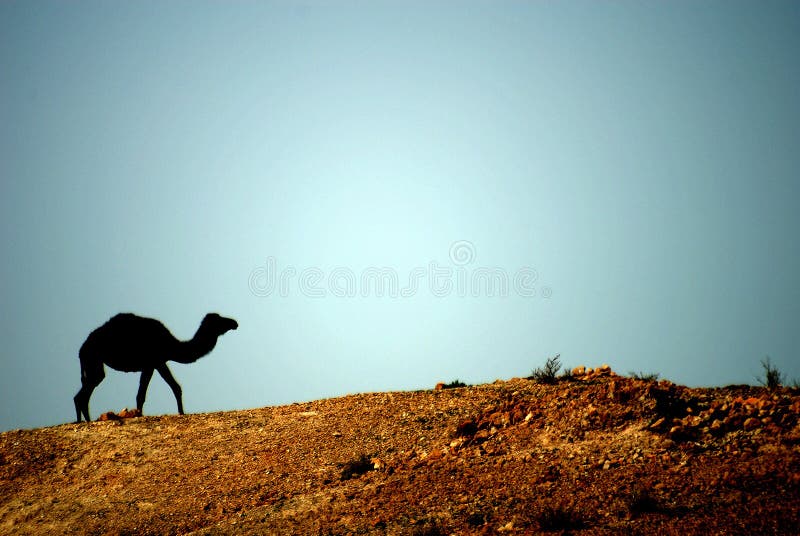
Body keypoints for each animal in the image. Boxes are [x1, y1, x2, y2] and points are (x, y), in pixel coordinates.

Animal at [73, 314, 238, 422]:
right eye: (219, 320)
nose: (234, 323)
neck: (171, 344)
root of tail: (82, 348)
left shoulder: (158, 363)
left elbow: (176, 387)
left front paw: (182, 413)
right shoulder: (153, 363)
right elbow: (142, 395)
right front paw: (139, 415)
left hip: (92, 362)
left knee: (84, 393)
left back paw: (86, 421)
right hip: (93, 359)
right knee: (83, 393)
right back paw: (85, 422)